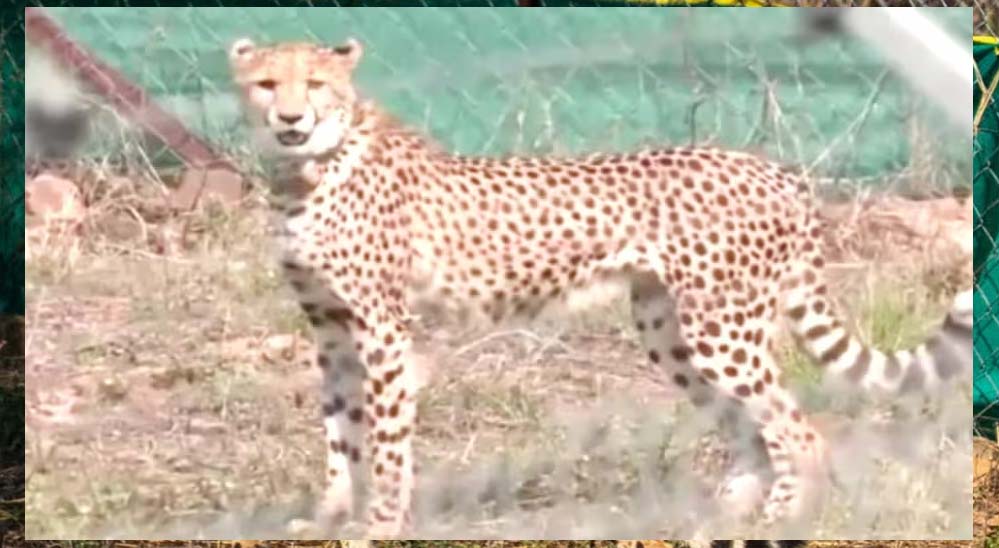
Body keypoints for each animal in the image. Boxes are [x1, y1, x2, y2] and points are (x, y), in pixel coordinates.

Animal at [227, 37, 973, 538]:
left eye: (315, 83)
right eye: (265, 83)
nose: (290, 120)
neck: (308, 167)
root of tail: (774, 170)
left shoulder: (380, 327)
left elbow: (384, 437)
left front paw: (381, 522)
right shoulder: (329, 327)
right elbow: (339, 430)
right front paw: (328, 516)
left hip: (720, 329)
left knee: (795, 428)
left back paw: (780, 518)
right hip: (670, 330)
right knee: (747, 429)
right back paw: (717, 515)